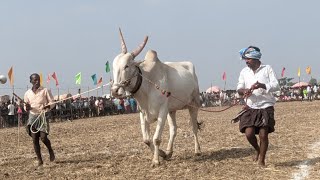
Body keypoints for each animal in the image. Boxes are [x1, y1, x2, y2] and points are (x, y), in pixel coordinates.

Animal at [110, 29, 200, 166]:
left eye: (126, 66)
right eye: (113, 66)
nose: (115, 91)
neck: (147, 85)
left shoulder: (162, 111)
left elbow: (156, 138)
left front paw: (156, 160)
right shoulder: (143, 112)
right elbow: (146, 140)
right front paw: (162, 154)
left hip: (193, 104)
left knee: (194, 127)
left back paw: (197, 150)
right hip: (171, 110)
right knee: (173, 129)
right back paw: (169, 152)